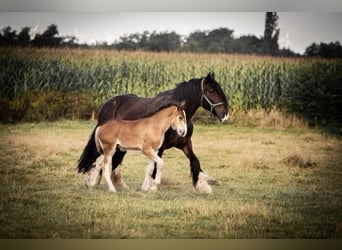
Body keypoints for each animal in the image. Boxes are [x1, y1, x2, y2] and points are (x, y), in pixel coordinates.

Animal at [78, 72, 230, 193]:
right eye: (210, 91)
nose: (225, 115)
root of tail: (108, 103)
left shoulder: (185, 144)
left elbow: (195, 161)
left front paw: (202, 186)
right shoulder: (159, 147)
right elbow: (155, 166)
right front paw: (152, 186)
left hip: (121, 146)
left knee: (113, 160)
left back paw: (117, 185)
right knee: (99, 159)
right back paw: (92, 181)